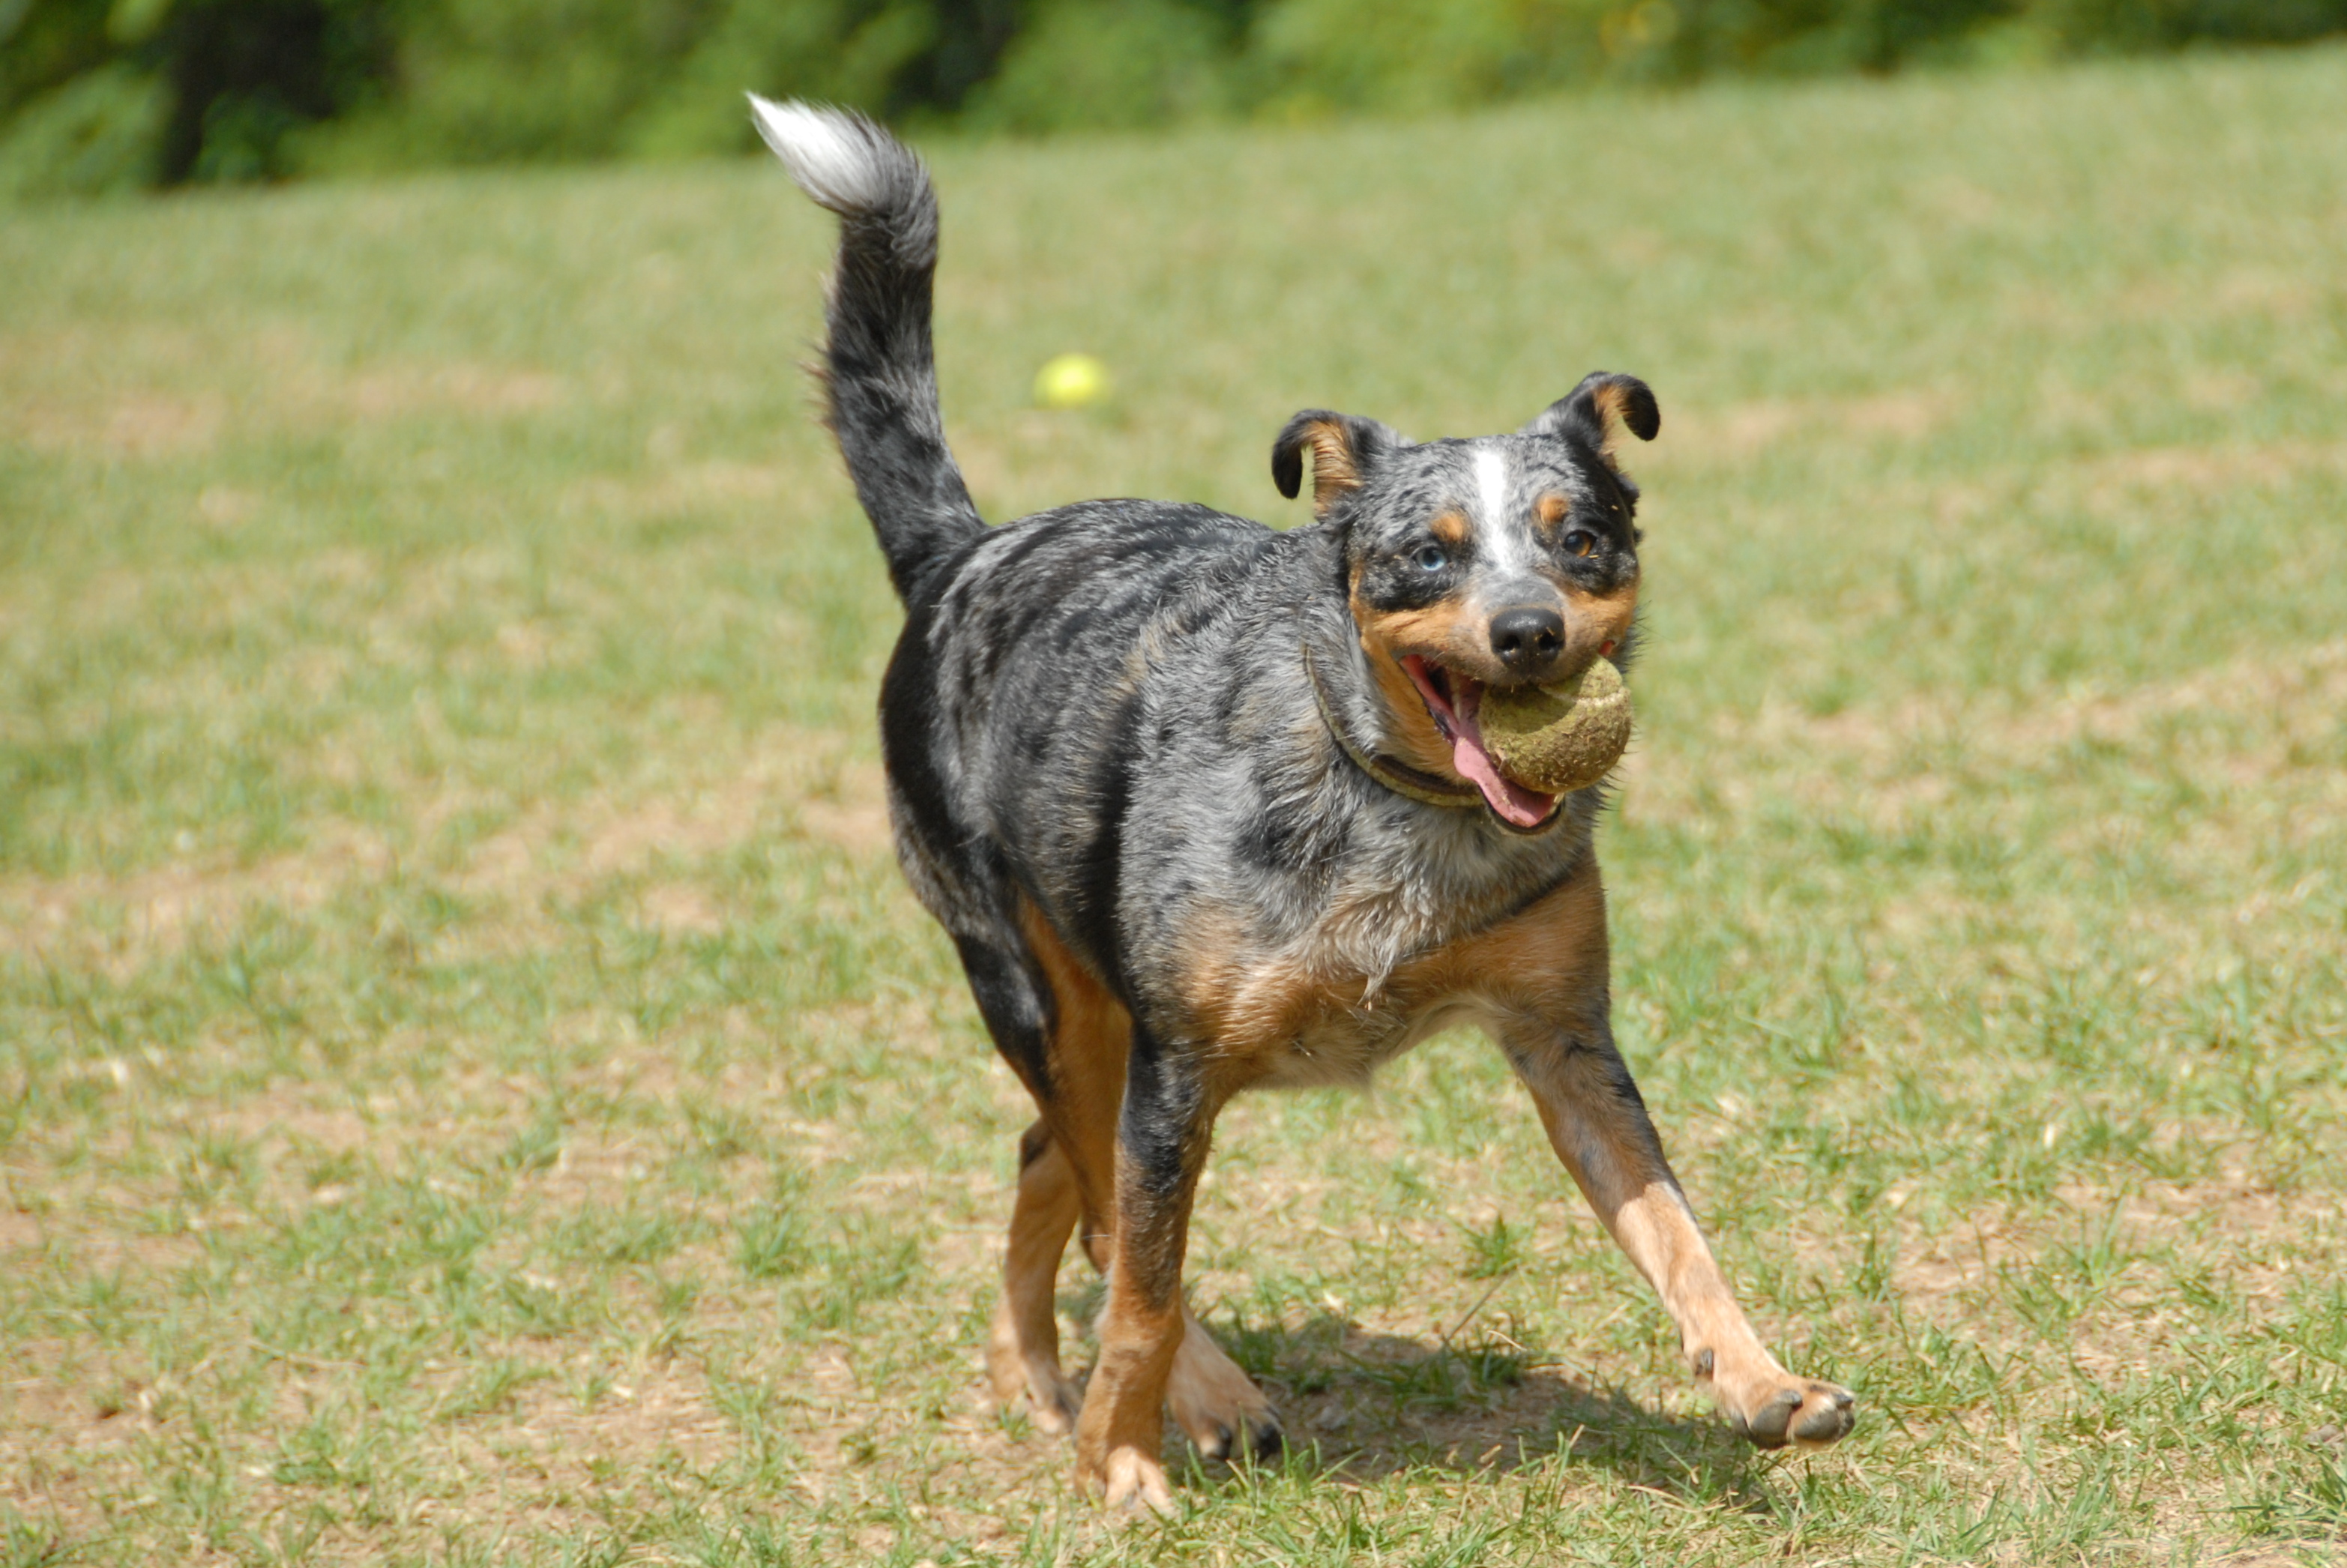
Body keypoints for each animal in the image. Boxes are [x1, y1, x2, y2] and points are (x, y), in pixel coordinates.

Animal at [750, 98, 1856, 1512]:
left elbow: (1672, 1226)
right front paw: (1125, 1462)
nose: (1530, 632)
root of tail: (961, 548)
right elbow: (1145, 1284)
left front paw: (1765, 1380)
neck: (1393, 808)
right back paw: (1195, 1399)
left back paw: (1029, 1371)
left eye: (1580, 538)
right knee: (1098, 1204)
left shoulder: (1564, 1032)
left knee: (1047, 1161)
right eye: (1427, 553)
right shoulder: (1175, 1071)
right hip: (1035, 987)